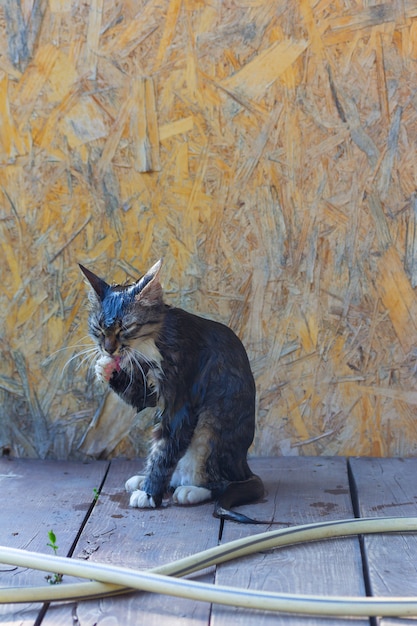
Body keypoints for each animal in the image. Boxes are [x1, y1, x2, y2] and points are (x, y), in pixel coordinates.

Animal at [80, 258, 264, 520]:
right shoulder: (149, 391)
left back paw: (190, 490)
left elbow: (164, 452)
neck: (148, 346)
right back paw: (143, 480)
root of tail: (244, 468)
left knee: (219, 482)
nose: (108, 349)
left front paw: (149, 494)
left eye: (125, 327)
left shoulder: (183, 405)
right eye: (98, 328)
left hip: (211, 428)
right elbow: (140, 399)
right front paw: (105, 368)